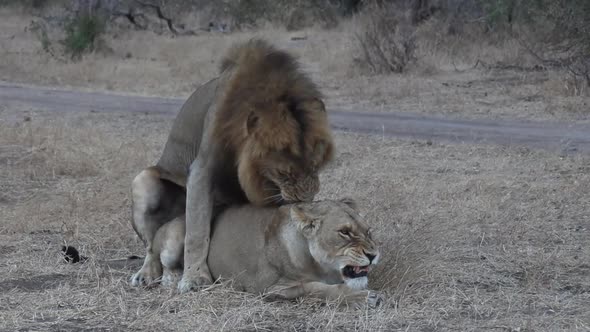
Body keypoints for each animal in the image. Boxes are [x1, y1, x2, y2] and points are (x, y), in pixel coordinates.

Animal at [132, 39, 336, 294]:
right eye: (283, 173)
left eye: (315, 167)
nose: (305, 200)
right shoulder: (203, 168)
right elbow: (196, 231)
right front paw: (195, 277)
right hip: (143, 180)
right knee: (152, 246)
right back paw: (146, 274)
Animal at [149, 198, 384, 308]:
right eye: (344, 232)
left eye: (368, 231)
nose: (373, 255)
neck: (319, 266)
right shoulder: (271, 288)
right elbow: (315, 288)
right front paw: (366, 297)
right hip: (178, 236)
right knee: (154, 252)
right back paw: (161, 278)